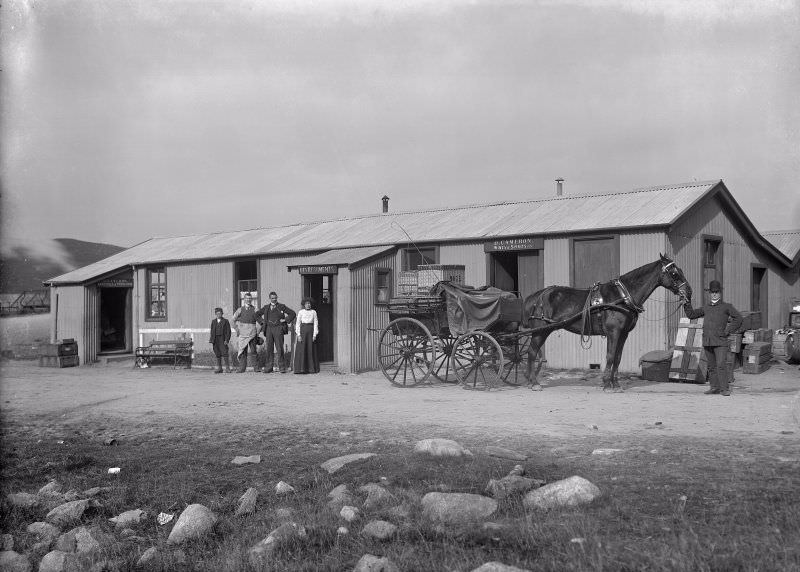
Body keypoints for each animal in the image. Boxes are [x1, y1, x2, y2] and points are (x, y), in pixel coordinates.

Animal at [520, 254, 692, 392]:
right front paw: (606, 384)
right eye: (674, 273)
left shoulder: (623, 334)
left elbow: (618, 358)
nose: (689, 292)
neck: (622, 297)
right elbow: (610, 356)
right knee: (532, 352)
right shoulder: (613, 332)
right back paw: (534, 383)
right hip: (540, 331)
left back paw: (530, 380)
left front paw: (615, 384)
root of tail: (536, 296)